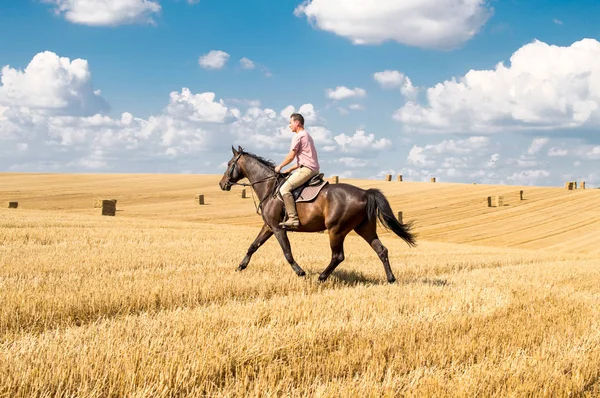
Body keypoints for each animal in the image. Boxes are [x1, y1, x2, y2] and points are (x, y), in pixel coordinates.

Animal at [217, 146, 418, 282]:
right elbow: (253, 246)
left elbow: (287, 252)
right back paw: (391, 279)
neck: (269, 187)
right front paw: (240, 267)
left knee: (338, 256)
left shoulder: (277, 228)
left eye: (229, 164)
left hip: (336, 230)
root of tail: (365, 193)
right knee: (381, 250)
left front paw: (300, 272)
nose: (222, 184)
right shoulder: (268, 226)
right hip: (364, 229)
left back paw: (321, 277)